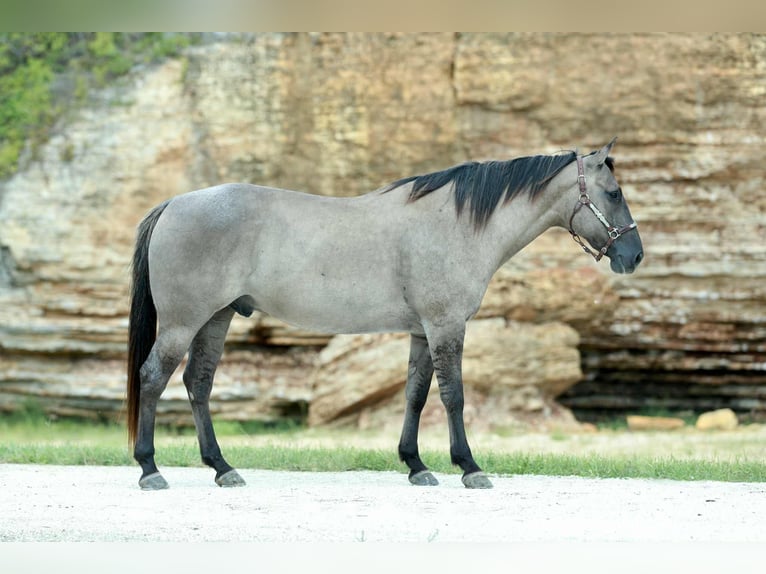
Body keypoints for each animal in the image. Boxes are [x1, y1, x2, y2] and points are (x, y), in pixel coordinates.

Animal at [127, 138, 643, 490]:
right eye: (614, 193)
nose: (634, 256)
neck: (456, 222)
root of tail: (174, 203)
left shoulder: (421, 332)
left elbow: (415, 396)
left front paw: (416, 465)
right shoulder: (445, 326)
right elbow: (453, 396)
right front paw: (469, 467)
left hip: (216, 318)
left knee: (198, 383)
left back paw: (222, 467)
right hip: (183, 322)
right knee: (153, 377)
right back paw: (150, 468)